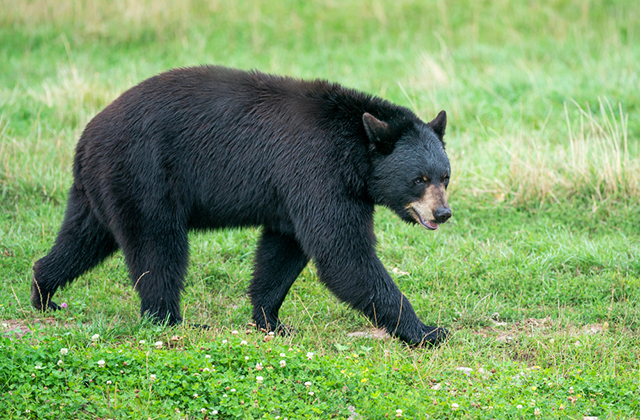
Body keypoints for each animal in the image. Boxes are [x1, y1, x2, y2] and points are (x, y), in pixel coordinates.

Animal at [30, 65, 452, 346]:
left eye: (445, 176)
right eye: (419, 179)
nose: (442, 213)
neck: (354, 151)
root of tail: (85, 138)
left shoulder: (293, 193)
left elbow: (282, 251)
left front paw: (270, 320)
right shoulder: (317, 171)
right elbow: (343, 254)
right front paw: (427, 331)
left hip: (98, 189)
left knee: (82, 239)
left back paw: (43, 292)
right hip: (143, 176)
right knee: (158, 248)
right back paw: (170, 319)